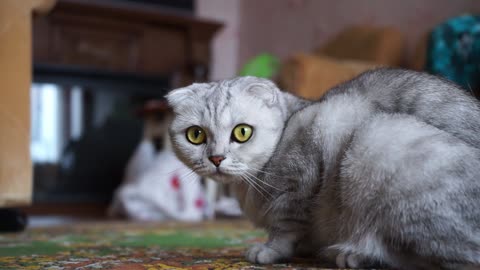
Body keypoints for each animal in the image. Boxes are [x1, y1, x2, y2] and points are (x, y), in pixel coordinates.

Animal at [166, 68, 480, 268]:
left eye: (242, 132)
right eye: (196, 135)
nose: (216, 158)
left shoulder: (298, 182)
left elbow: (284, 228)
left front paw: (269, 252)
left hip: (377, 140)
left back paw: (356, 254)